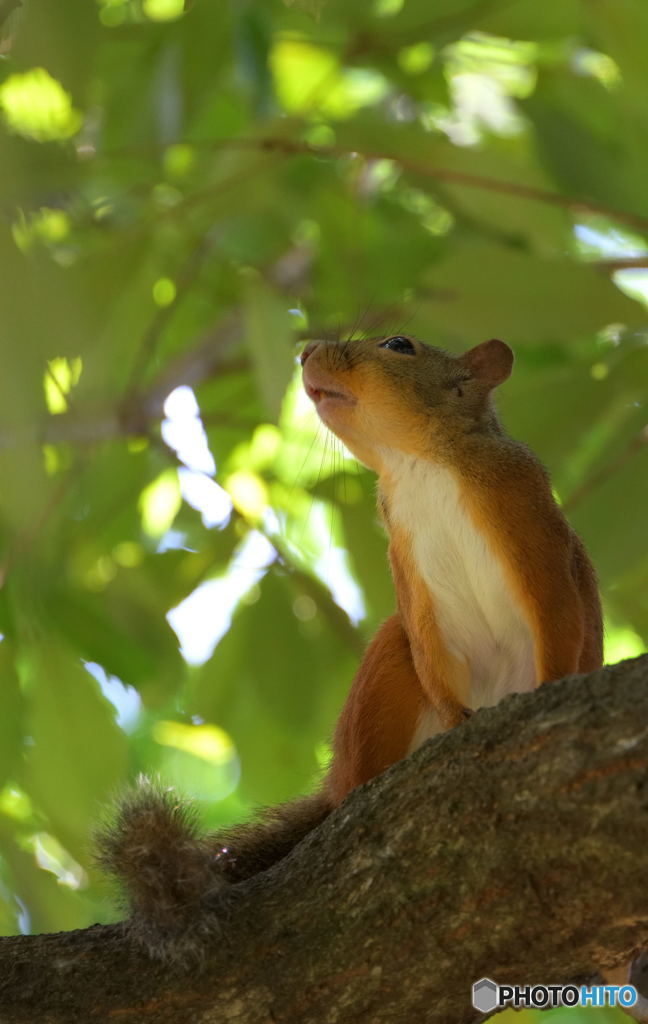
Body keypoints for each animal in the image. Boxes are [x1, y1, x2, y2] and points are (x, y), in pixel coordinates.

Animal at [96, 333, 601, 958]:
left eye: (399, 345)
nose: (308, 348)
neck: (418, 465)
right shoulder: (409, 578)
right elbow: (430, 652)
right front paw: (456, 720)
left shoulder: (531, 519)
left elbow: (558, 614)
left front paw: (552, 689)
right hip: (381, 681)